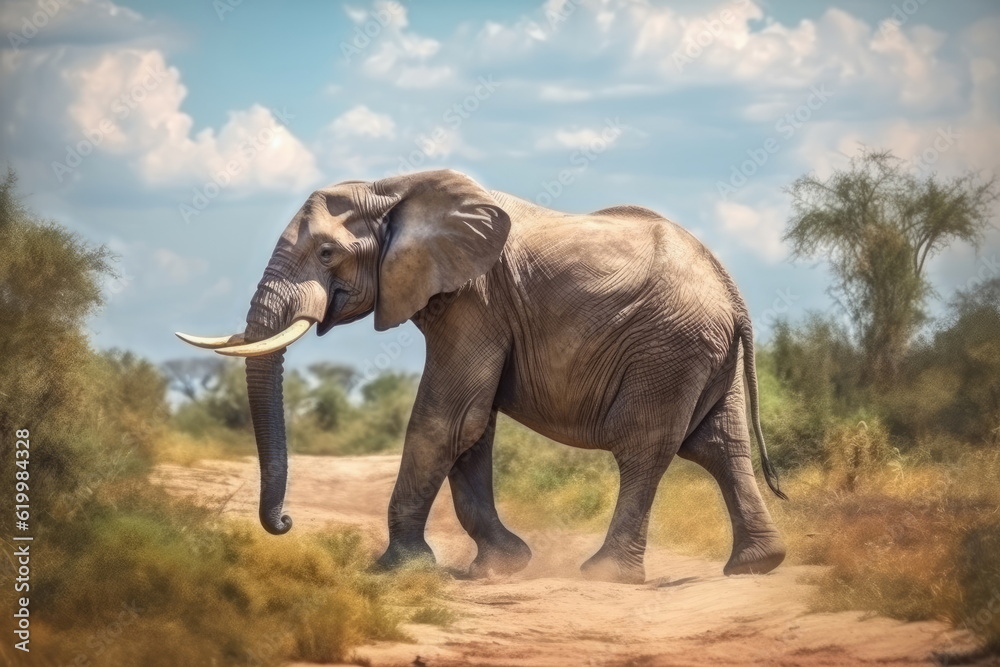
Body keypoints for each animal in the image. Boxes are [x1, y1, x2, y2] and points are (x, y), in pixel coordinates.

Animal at [176, 169, 787, 584]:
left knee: (645, 447)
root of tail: (732, 293)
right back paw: (757, 565)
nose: (285, 522)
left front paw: (396, 569)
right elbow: (473, 426)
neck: (395, 188)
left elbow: (446, 420)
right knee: (719, 445)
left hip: (667, 348)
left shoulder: (476, 300)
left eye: (326, 253)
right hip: (702, 352)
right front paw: (502, 565)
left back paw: (604, 574)